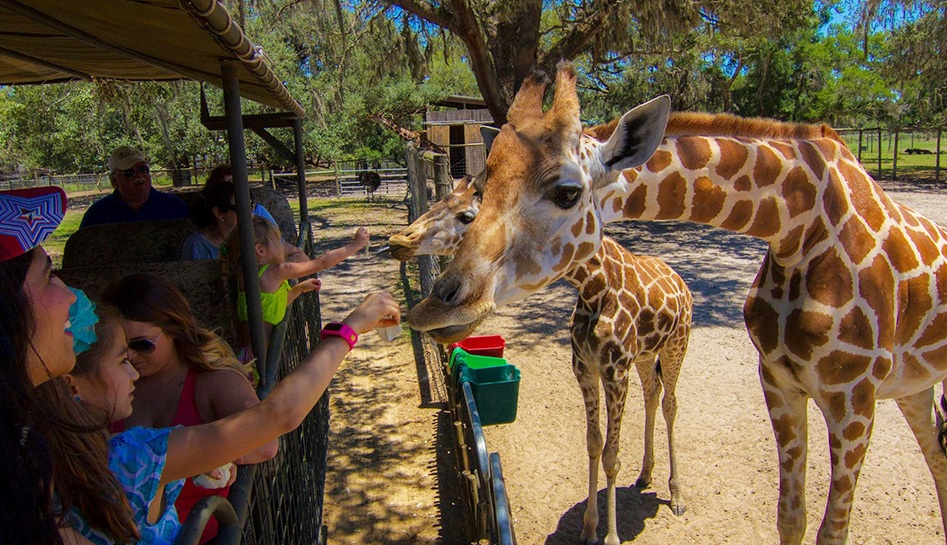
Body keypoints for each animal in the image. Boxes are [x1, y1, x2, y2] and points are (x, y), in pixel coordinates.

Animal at [390, 177, 693, 544]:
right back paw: (646, 474)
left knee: (670, 403)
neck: (595, 285)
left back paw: (676, 496)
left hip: (676, 345)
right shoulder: (585, 369)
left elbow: (612, 456)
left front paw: (611, 536)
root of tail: (680, 280)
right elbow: (593, 444)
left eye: (466, 216)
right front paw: (589, 530)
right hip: (648, 355)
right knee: (652, 395)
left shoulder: (615, 372)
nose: (398, 241)